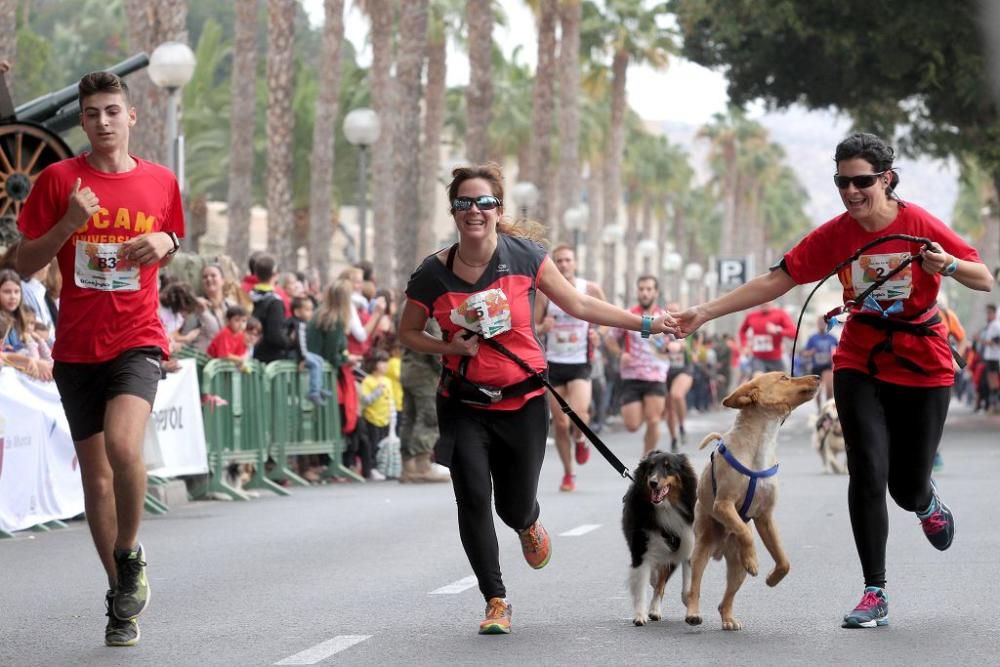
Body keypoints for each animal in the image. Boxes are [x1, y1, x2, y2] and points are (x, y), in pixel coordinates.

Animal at [620, 448, 700, 628]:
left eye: (668, 467)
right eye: (650, 468)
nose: (653, 483)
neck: (666, 507)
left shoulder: (688, 545)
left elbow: (687, 587)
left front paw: (692, 613)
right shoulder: (641, 550)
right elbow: (640, 586)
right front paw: (639, 616)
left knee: (660, 583)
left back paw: (655, 610)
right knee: (655, 579)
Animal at [688, 374, 820, 636]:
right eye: (784, 377)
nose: (819, 376)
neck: (761, 441)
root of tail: (719, 551)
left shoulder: (765, 517)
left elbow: (784, 560)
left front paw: (773, 578)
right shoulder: (723, 505)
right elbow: (743, 531)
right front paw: (754, 560)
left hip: (736, 569)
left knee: (725, 600)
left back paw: (728, 618)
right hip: (702, 547)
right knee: (694, 586)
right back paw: (693, 612)